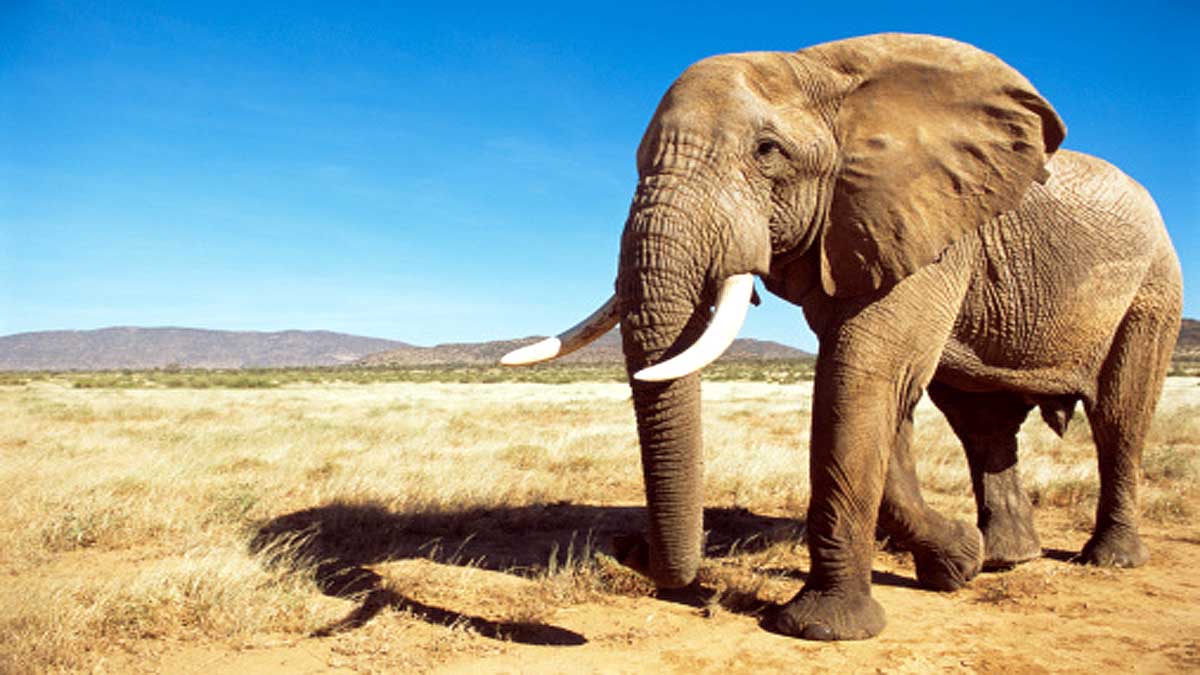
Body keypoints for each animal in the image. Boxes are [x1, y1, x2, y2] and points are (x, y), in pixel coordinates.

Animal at [500, 33, 1182, 640]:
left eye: (767, 151)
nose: (628, 548)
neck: (820, 69)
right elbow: (881, 393)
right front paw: (955, 563)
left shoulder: (926, 223)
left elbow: (861, 377)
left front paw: (821, 629)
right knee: (981, 425)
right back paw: (1004, 559)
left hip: (1154, 288)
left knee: (1119, 416)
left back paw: (1108, 559)